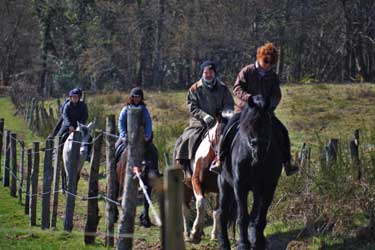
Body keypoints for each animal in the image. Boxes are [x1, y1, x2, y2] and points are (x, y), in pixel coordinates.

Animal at [175, 111, 234, 244]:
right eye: (219, 132)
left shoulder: (221, 190)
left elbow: (217, 212)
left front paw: (215, 235)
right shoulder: (196, 181)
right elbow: (200, 203)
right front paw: (195, 233)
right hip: (185, 186)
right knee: (185, 209)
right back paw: (187, 234)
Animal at [217, 103, 284, 250]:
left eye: (268, 122)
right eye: (248, 124)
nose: (259, 150)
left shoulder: (269, 186)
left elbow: (260, 215)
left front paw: (259, 242)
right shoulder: (239, 186)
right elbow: (243, 216)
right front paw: (243, 244)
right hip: (224, 184)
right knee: (222, 213)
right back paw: (224, 243)